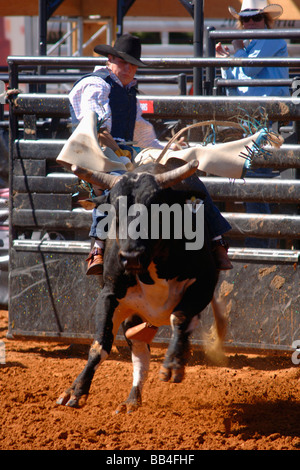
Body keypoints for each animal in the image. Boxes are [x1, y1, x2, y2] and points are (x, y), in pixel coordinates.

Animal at [56, 157, 226, 412]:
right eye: (114, 212)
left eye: (156, 210)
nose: (131, 257)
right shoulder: (109, 295)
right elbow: (100, 345)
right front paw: (76, 390)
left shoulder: (204, 285)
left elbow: (180, 318)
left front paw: (173, 364)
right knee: (139, 352)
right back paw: (131, 399)